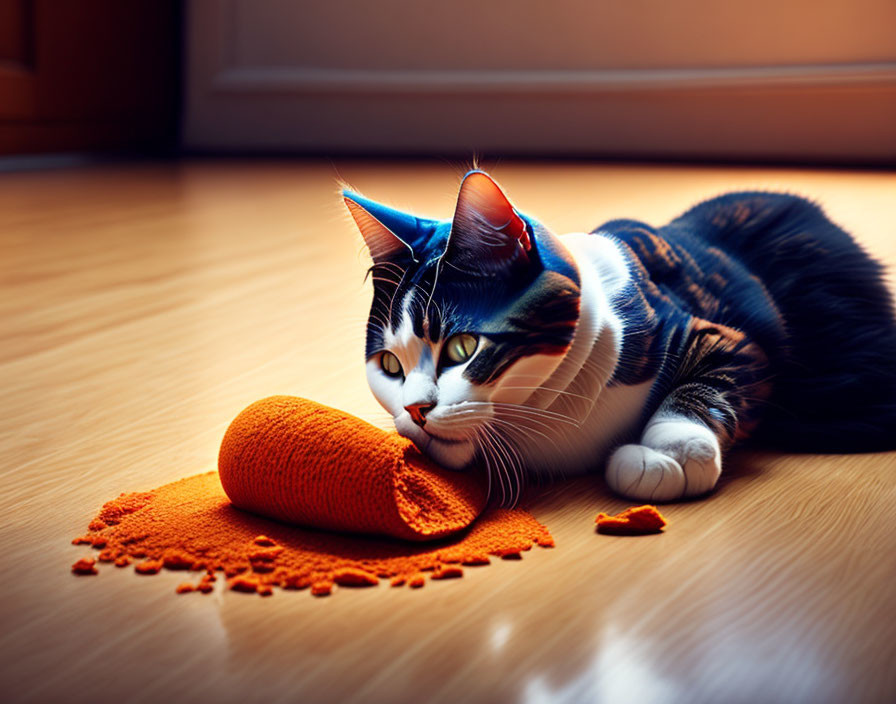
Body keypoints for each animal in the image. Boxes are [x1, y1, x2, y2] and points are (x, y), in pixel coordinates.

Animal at [342, 170, 896, 504]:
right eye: (389, 366)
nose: (414, 410)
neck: (552, 425)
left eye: (462, 347)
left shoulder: (721, 336)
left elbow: (707, 384)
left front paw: (669, 452)